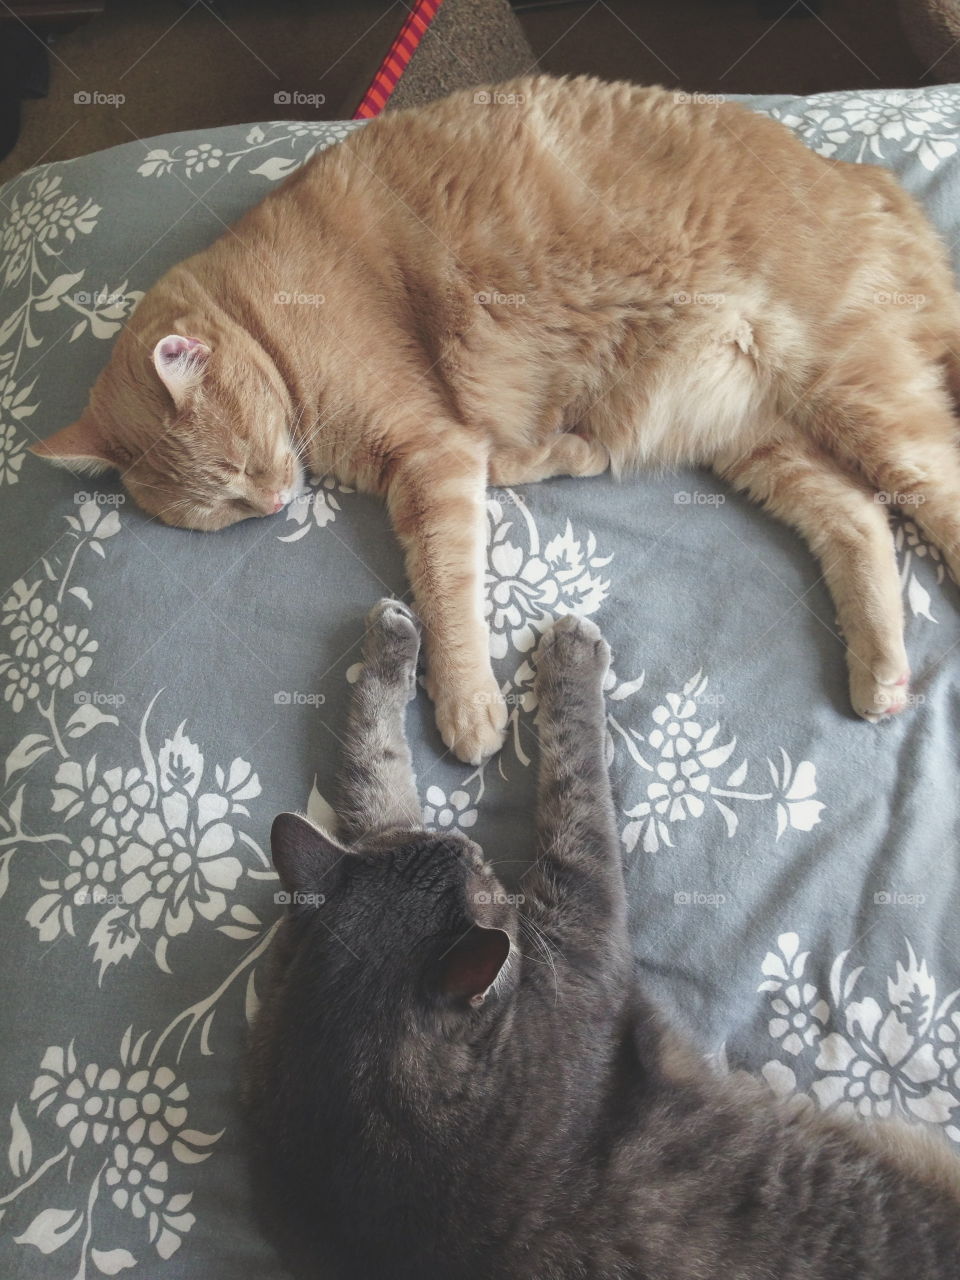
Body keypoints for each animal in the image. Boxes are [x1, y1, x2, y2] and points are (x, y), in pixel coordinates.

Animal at [30, 77, 960, 757]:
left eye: (240, 472)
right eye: (220, 507)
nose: (269, 503)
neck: (265, 316)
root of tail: (866, 178)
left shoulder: (430, 454)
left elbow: (445, 589)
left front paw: (467, 702)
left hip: (855, 391)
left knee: (932, 488)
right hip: (756, 438)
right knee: (858, 517)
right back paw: (882, 675)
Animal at [248, 599, 960, 1280]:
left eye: (467, 850)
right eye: (484, 871)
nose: (471, 848)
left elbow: (374, 764)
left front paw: (392, 643)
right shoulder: (581, 927)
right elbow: (573, 781)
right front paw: (570, 655)